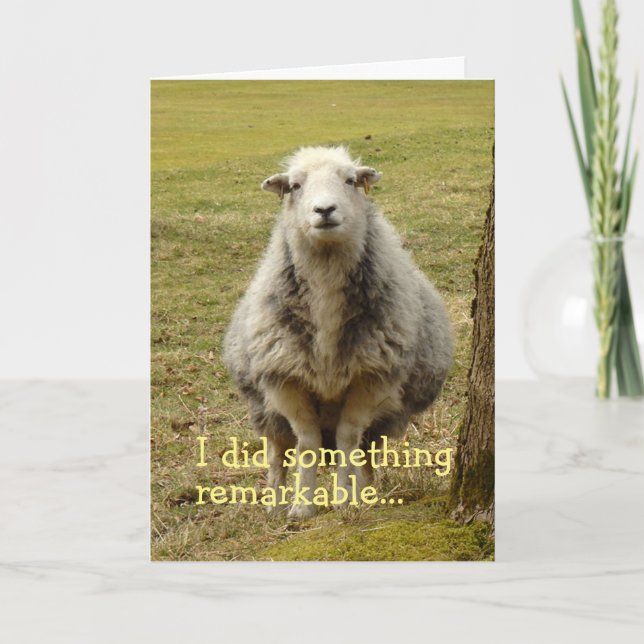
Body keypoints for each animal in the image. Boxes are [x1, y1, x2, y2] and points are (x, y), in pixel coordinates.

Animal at [223, 146, 453, 518]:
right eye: (295, 186)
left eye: (350, 181)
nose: (325, 210)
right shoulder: (286, 381)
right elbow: (307, 444)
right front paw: (302, 507)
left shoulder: (372, 378)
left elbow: (348, 440)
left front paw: (346, 500)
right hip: (264, 407)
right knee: (277, 451)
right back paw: (274, 502)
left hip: (382, 418)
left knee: (365, 452)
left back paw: (367, 492)